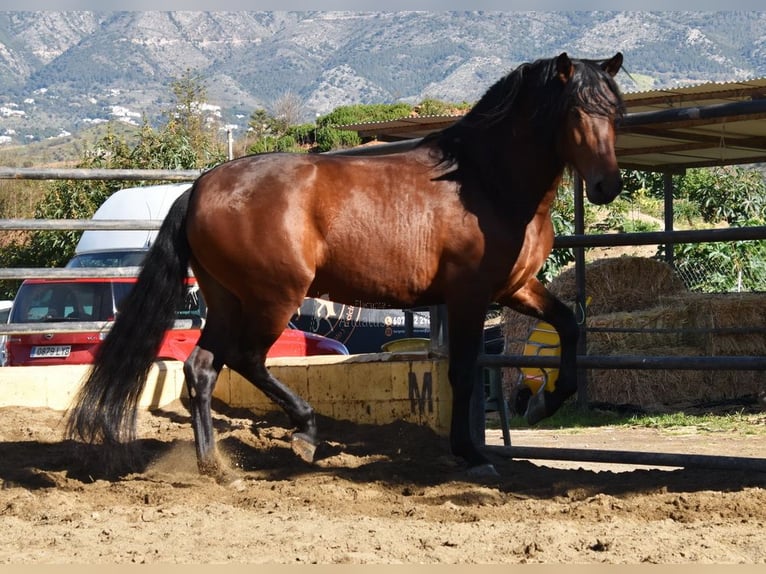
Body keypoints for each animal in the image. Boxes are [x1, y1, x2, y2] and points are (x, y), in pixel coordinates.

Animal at [66, 53, 628, 476]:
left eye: (614, 113)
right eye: (576, 113)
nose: (607, 187)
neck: (482, 182)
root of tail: (201, 187)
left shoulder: (515, 287)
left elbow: (569, 325)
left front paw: (545, 402)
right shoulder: (468, 297)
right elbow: (464, 374)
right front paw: (471, 455)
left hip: (226, 298)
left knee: (202, 368)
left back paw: (216, 467)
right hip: (275, 297)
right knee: (248, 359)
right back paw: (305, 433)